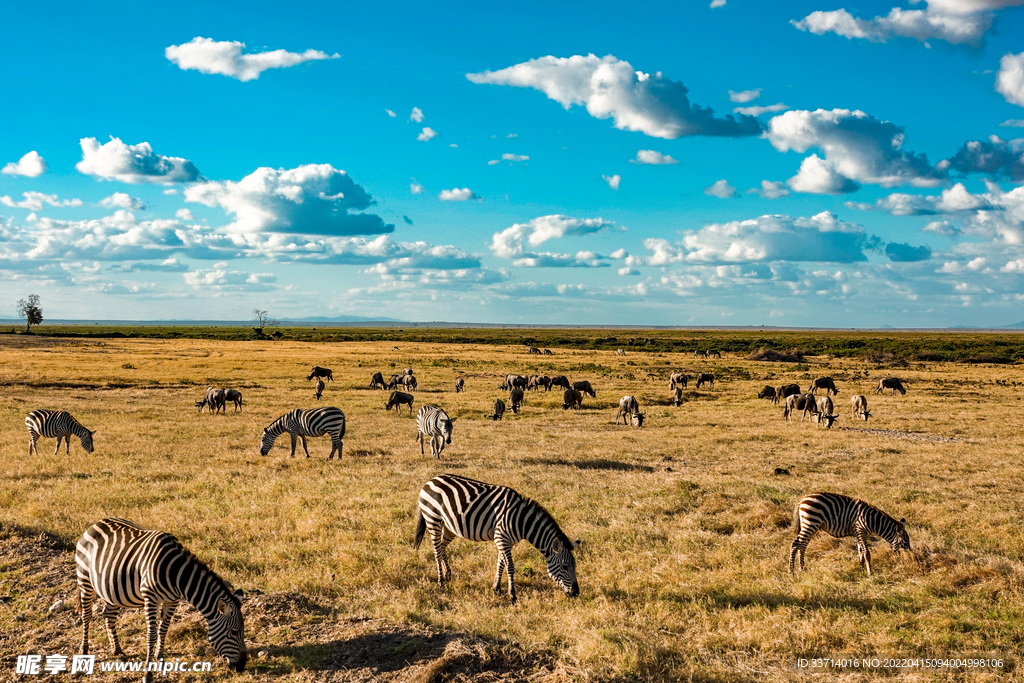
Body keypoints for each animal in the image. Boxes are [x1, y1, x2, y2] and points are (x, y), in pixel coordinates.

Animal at [74, 518, 246, 679]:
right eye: (234, 632)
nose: (243, 666)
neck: (176, 574)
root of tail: (97, 523)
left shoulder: (172, 600)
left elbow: (163, 629)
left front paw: (160, 658)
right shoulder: (150, 598)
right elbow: (152, 634)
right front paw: (148, 673)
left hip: (112, 588)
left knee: (109, 615)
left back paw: (117, 650)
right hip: (85, 580)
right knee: (86, 615)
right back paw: (84, 649)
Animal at [411, 475, 581, 602]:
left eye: (574, 566)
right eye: (565, 567)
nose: (576, 593)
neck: (521, 521)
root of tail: (431, 480)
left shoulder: (505, 541)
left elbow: (500, 564)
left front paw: (496, 588)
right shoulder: (502, 538)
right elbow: (510, 566)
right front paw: (512, 595)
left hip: (449, 526)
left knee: (441, 547)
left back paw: (448, 574)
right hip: (433, 519)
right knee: (436, 550)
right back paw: (441, 582)